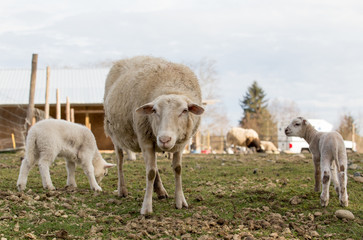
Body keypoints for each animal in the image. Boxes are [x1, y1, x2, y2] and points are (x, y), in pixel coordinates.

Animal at [103, 56, 205, 216]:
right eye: (155, 110)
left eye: (184, 110)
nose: (164, 139)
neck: (170, 85)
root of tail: (127, 59)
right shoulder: (145, 139)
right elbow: (150, 172)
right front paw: (146, 208)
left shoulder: (180, 144)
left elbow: (177, 169)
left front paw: (180, 201)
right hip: (115, 135)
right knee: (120, 160)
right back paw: (122, 190)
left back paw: (161, 191)